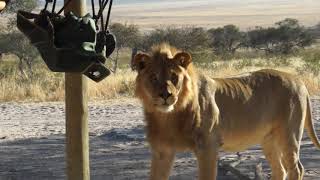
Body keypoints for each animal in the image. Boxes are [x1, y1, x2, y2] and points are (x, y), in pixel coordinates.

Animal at [132, 43, 320, 180]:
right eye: (153, 78)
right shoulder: (162, 151)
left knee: (296, 169)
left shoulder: (208, 146)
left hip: (289, 135)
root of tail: (298, 80)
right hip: (268, 140)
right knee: (280, 170)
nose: (166, 95)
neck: (169, 116)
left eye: (174, 77)